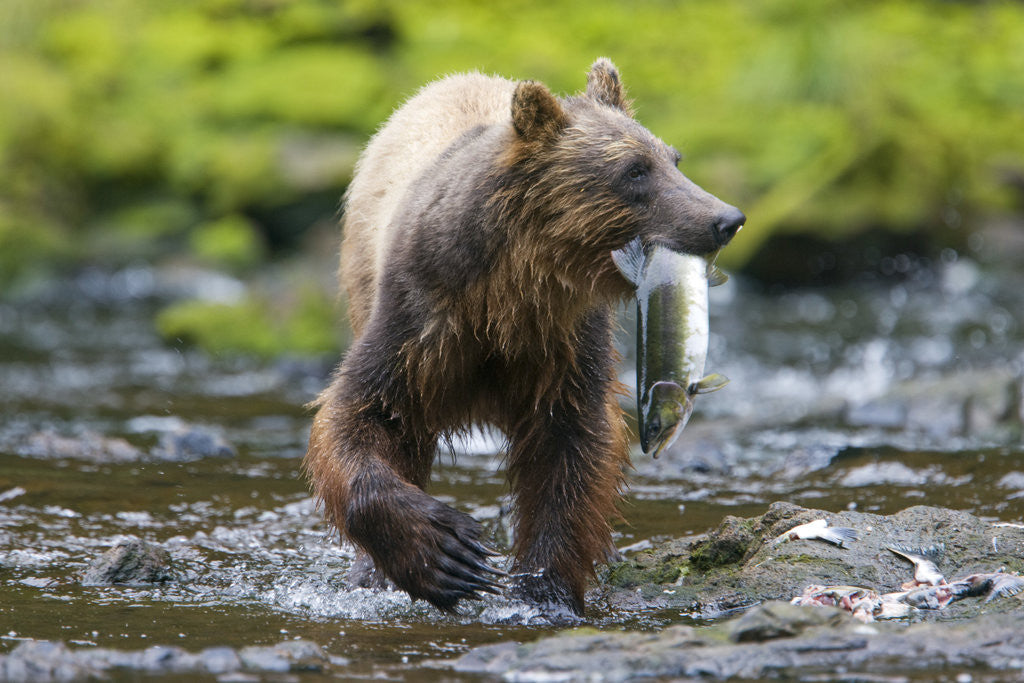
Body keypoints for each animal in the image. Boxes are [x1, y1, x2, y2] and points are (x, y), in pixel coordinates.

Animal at [304, 58, 744, 618]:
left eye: (674, 159)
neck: (510, 295)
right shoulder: (420, 318)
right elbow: (361, 414)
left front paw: (543, 586)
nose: (726, 218)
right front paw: (446, 553)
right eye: (634, 170)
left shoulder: (563, 344)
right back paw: (374, 572)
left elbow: (571, 454)